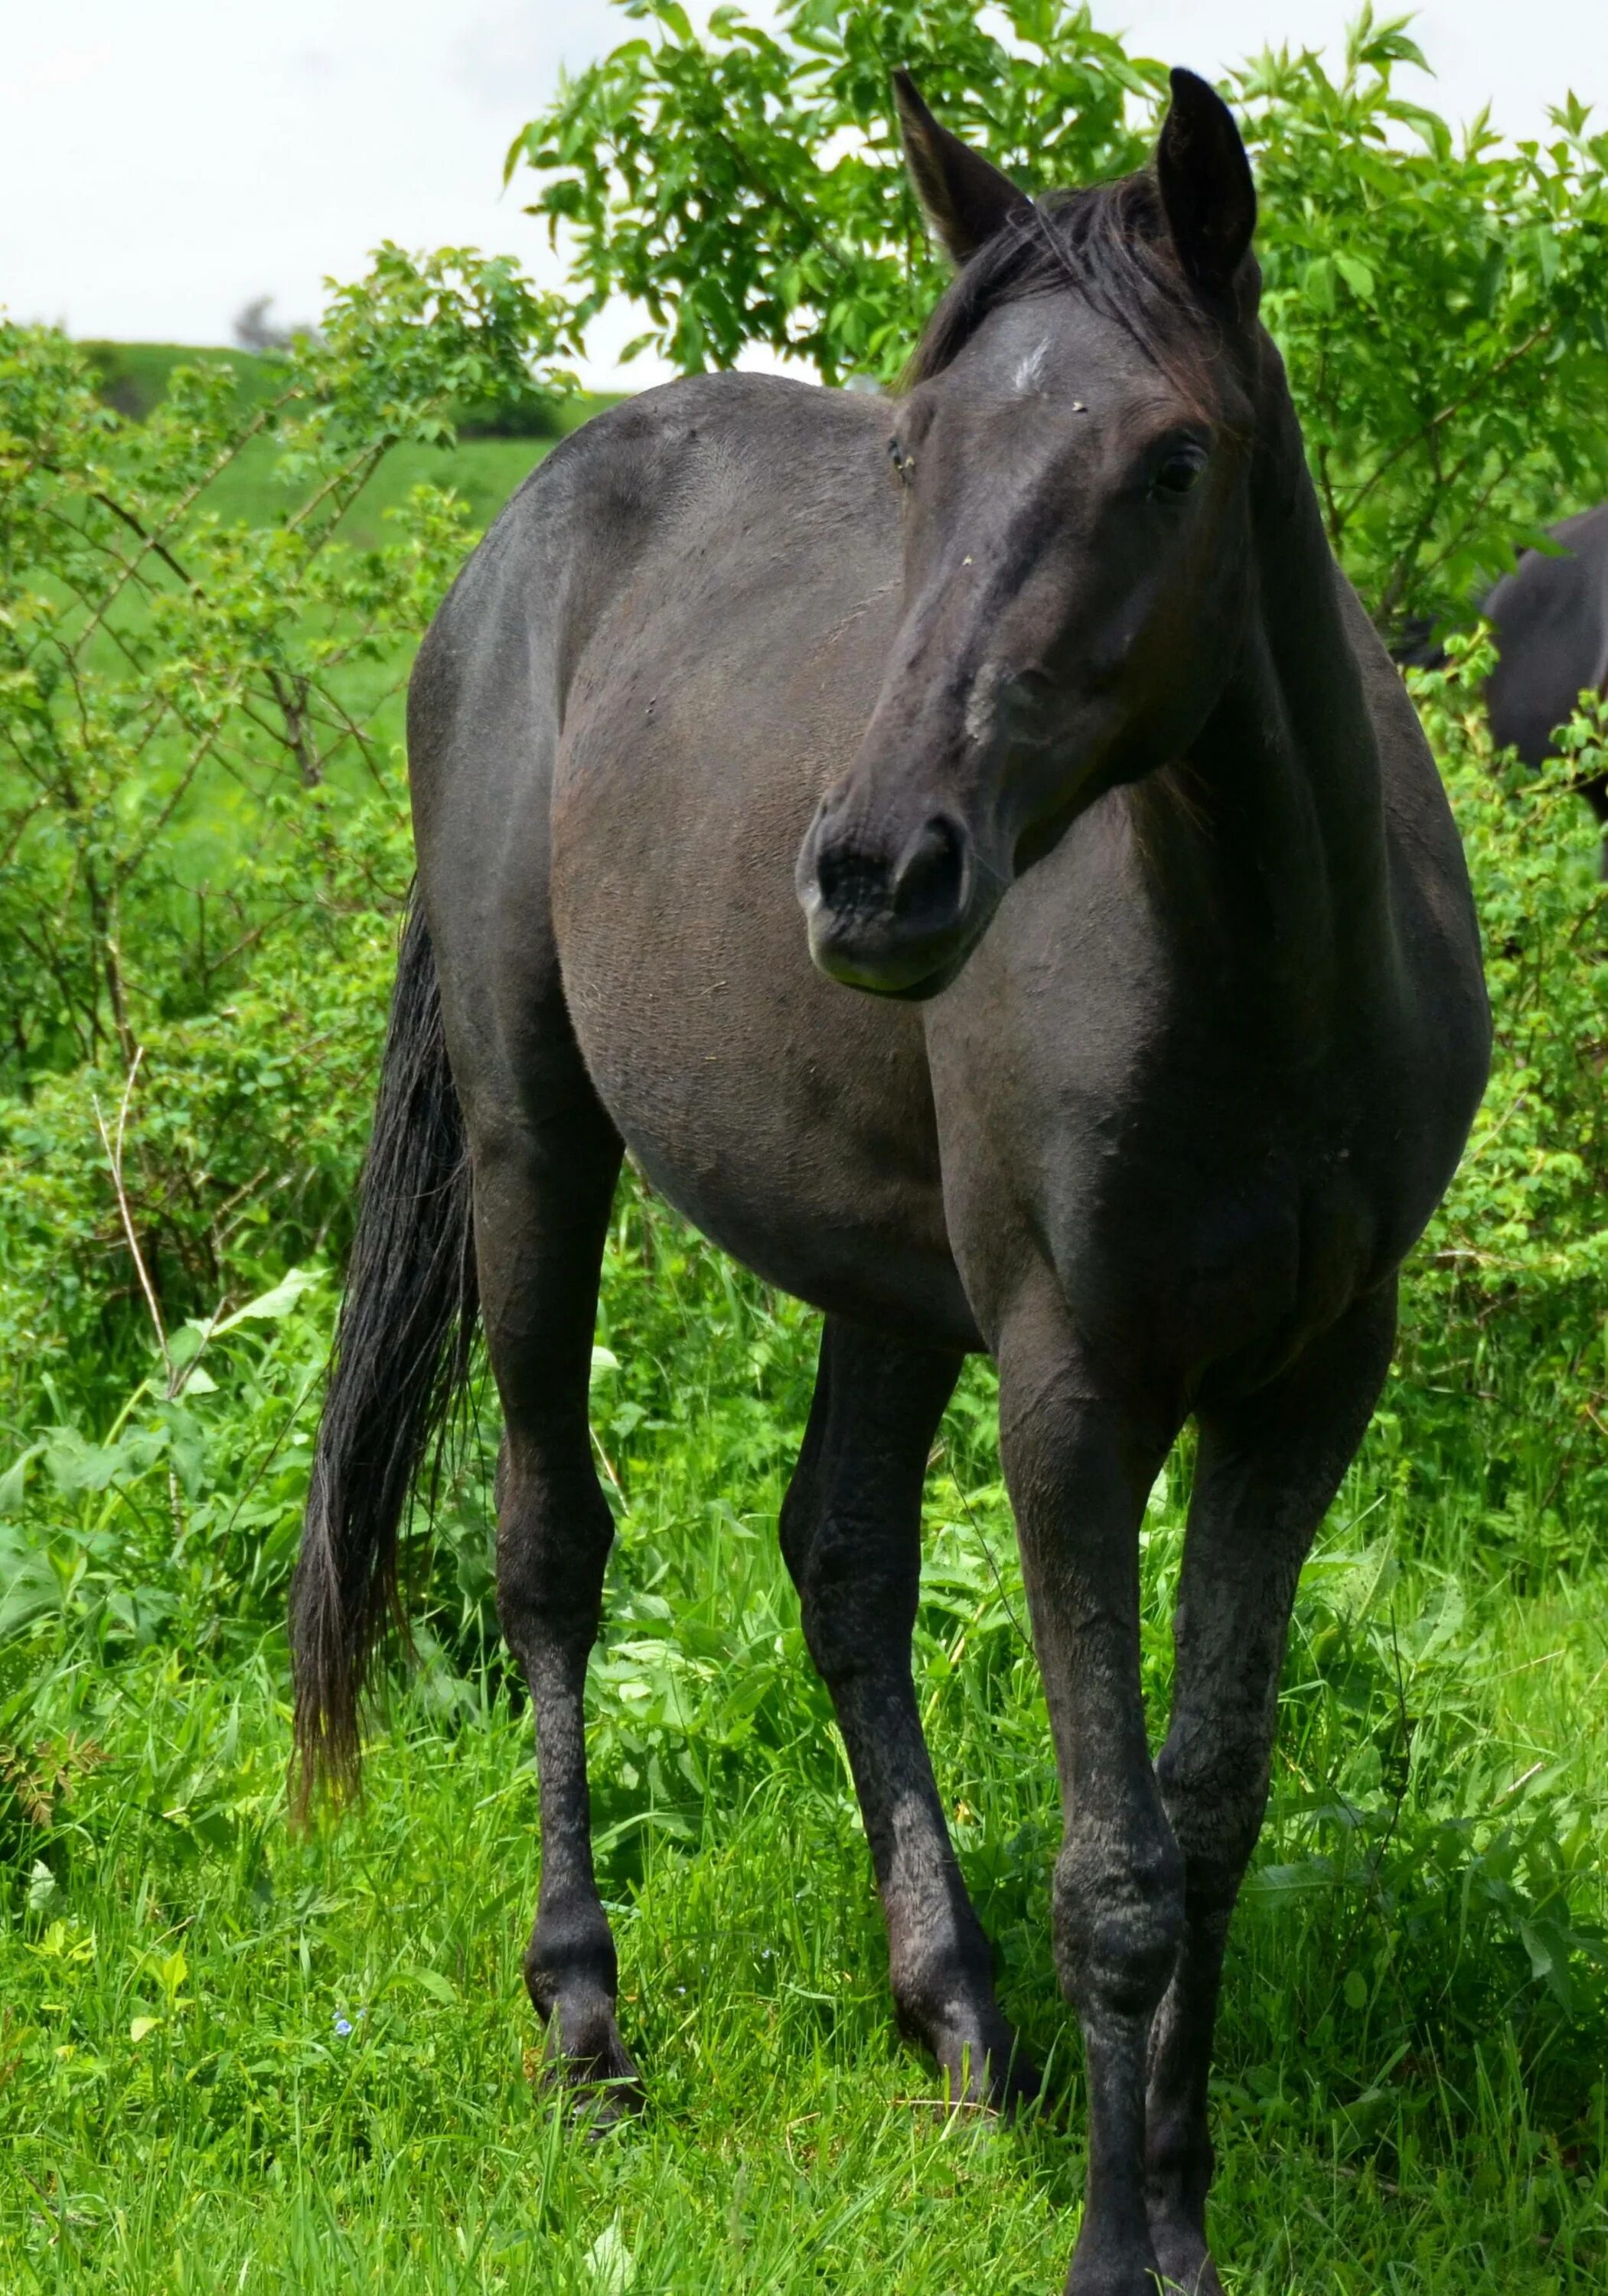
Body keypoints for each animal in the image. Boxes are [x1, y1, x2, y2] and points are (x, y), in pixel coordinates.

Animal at [292, 71, 1497, 2296]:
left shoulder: (1307, 1388)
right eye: (915, 448)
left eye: (1169, 459)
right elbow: (1117, 1865)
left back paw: (949, 2012)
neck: (1268, 973)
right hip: (533, 1141)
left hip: (884, 1268)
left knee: (836, 1557)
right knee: (546, 1548)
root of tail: (527, 527)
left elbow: (1207, 1815)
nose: (872, 869)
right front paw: (1116, 2246)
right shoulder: (1073, 1395)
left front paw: (1174, 2200)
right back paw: (585, 2015)